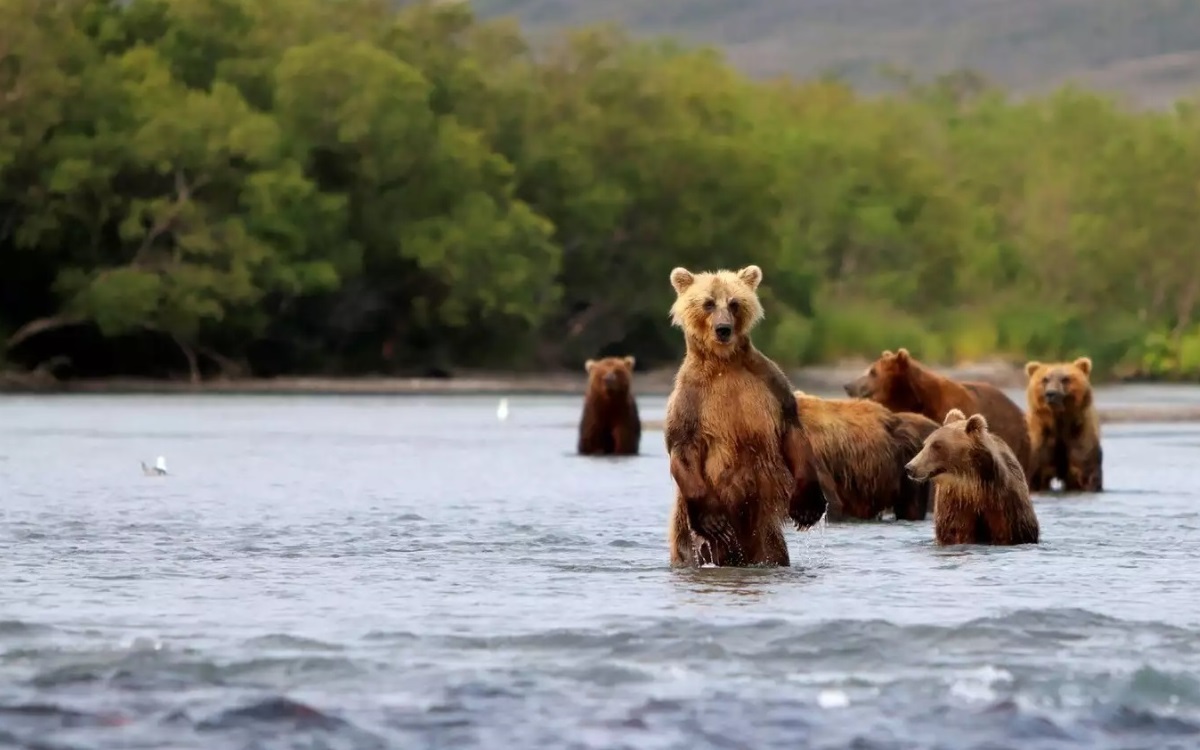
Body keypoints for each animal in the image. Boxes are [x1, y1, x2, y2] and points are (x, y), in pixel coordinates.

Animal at [662, 266, 840, 564]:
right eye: (708, 303)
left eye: (734, 302)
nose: (723, 329)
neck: (724, 362)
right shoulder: (690, 399)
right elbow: (683, 447)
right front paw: (713, 520)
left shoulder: (770, 384)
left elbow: (792, 432)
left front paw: (808, 506)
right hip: (686, 531)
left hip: (763, 531)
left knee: (774, 551)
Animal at [902, 405, 1036, 547]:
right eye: (925, 444)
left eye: (937, 445)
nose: (910, 467)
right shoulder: (954, 506)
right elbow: (955, 530)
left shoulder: (1005, 506)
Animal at [1022, 357, 1104, 492]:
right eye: (1045, 379)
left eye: (1065, 379)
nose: (1051, 393)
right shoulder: (1040, 440)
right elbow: (1034, 474)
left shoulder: (1080, 436)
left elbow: (1086, 471)